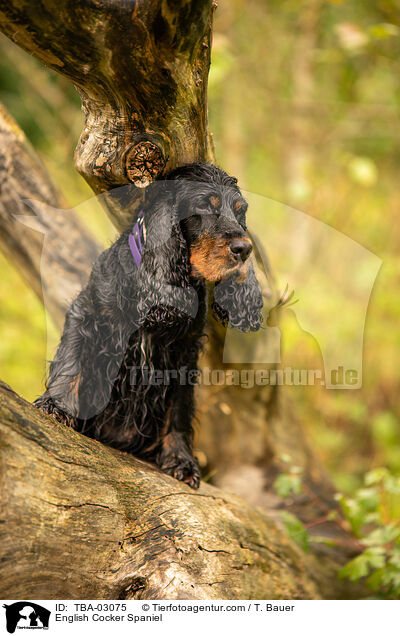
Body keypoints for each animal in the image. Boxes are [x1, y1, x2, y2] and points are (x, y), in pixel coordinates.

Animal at [34, 163, 264, 486]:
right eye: (205, 207)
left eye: (240, 211)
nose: (244, 249)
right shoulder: (86, 313)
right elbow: (71, 362)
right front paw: (56, 406)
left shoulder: (185, 351)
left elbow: (179, 407)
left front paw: (180, 460)